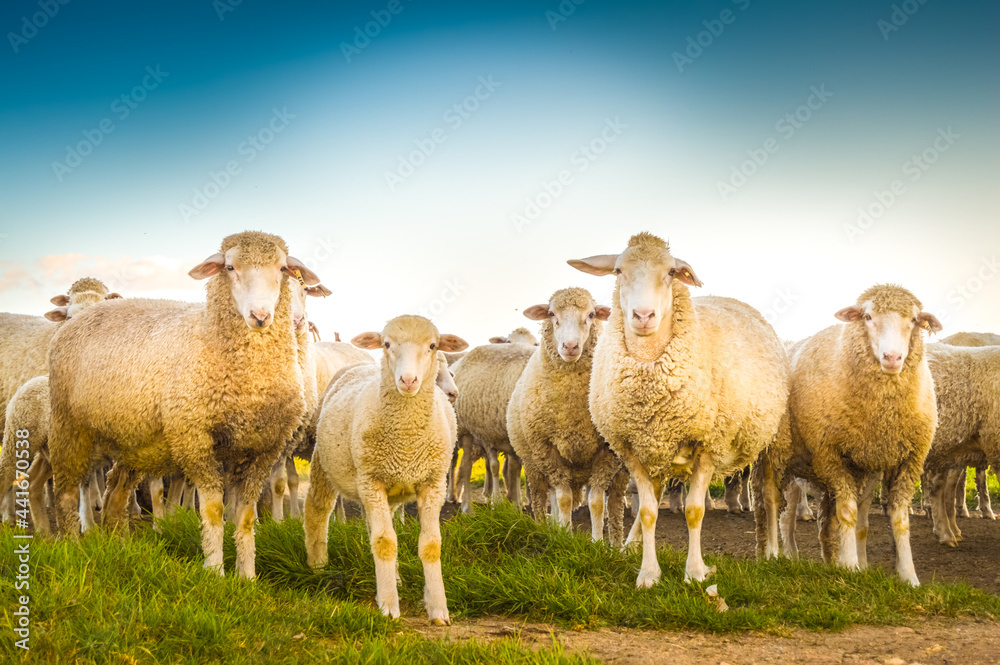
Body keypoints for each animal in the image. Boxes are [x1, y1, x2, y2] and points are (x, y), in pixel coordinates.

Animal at [47, 232, 320, 578]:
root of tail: (82, 316)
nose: (259, 317)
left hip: (134, 439)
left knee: (116, 489)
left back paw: (117, 545)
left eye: (283, 268)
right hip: (68, 425)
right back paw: (71, 543)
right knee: (67, 491)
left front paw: (247, 577)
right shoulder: (194, 440)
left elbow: (245, 517)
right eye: (230, 267)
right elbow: (214, 510)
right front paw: (215, 571)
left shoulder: (263, 448)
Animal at [303, 315, 467, 623]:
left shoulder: (432, 483)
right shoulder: (372, 480)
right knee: (317, 509)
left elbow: (430, 545)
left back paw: (395, 578)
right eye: (387, 344)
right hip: (325, 462)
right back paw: (317, 566)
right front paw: (389, 606)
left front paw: (438, 608)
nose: (408, 380)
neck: (406, 440)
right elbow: (385, 542)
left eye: (432, 345)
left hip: (386, 489)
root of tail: (363, 363)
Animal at [506, 287, 628, 544]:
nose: (570, 346)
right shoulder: (547, 450)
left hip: (621, 470)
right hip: (533, 463)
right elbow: (563, 499)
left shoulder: (607, 452)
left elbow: (597, 502)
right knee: (541, 498)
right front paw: (564, 538)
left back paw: (617, 545)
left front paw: (597, 544)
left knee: (615, 506)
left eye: (591, 314)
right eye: (552, 313)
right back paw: (543, 528)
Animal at [569, 232, 791, 585]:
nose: (643, 316)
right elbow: (647, 511)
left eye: (671, 272)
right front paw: (648, 574)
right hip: (658, 450)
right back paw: (630, 546)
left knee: (769, 494)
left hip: (772, 436)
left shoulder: (708, 445)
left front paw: (696, 573)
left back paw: (771, 554)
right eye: (618, 270)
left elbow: (695, 511)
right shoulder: (631, 449)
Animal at [781, 284, 940, 585]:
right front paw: (851, 567)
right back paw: (778, 555)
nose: (892, 358)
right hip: (784, 464)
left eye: (914, 320)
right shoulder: (830, 455)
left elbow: (896, 520)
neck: (882, 415)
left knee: (828, 522)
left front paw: (908, 576)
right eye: (867, 317)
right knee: (781, 513)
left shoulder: (905, 460)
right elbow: (848, 512)